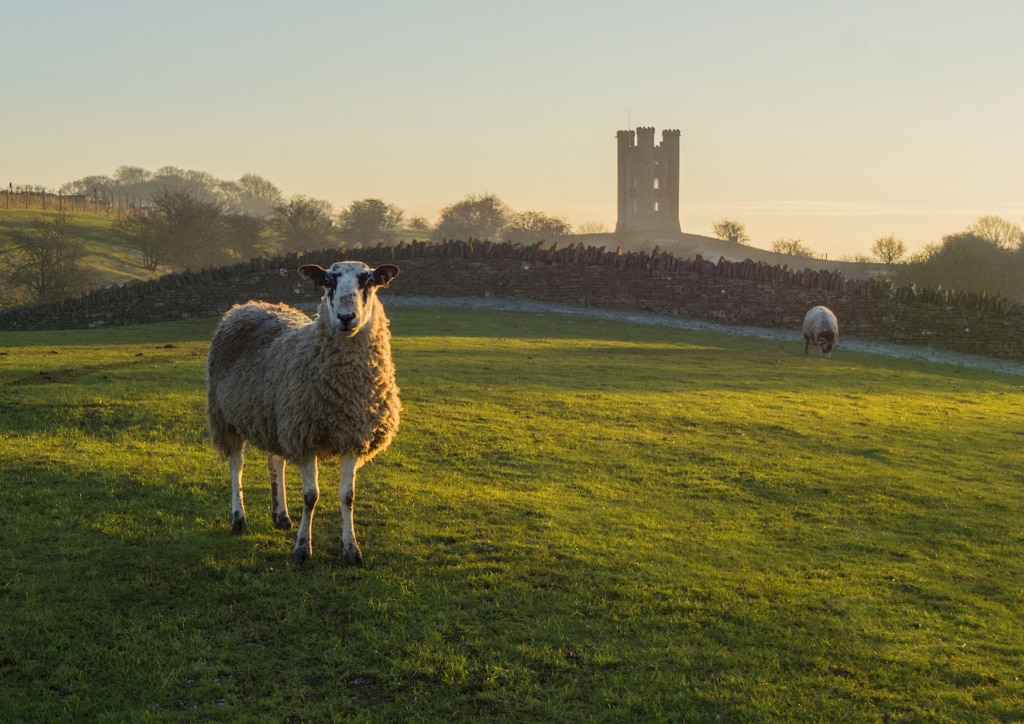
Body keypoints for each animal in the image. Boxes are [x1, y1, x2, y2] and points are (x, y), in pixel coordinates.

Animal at [206, 261, 401, 564]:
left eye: (368, 282)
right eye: (328, 282)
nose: (346, 317)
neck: (346, 389)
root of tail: (248, 305)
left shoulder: (352, 437)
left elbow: (348, 496)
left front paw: (351, 549)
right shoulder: (304, 438)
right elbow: (311, 496)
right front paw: (301, 548)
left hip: (274, 417)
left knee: (275, 461)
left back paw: (281, 516)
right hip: (226, 417)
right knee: (236, 466)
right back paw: (239, 519)